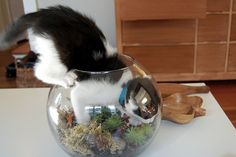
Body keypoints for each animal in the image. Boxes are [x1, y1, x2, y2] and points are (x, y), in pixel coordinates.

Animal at [0, 5, 159, 124]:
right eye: (146, 112)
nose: (152, 121)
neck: (122, 88)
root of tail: (44, 13)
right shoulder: (83, 93)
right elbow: (79, 105)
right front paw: (85, 124)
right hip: (58, 54)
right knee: (40, 71)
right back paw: (66, 78)